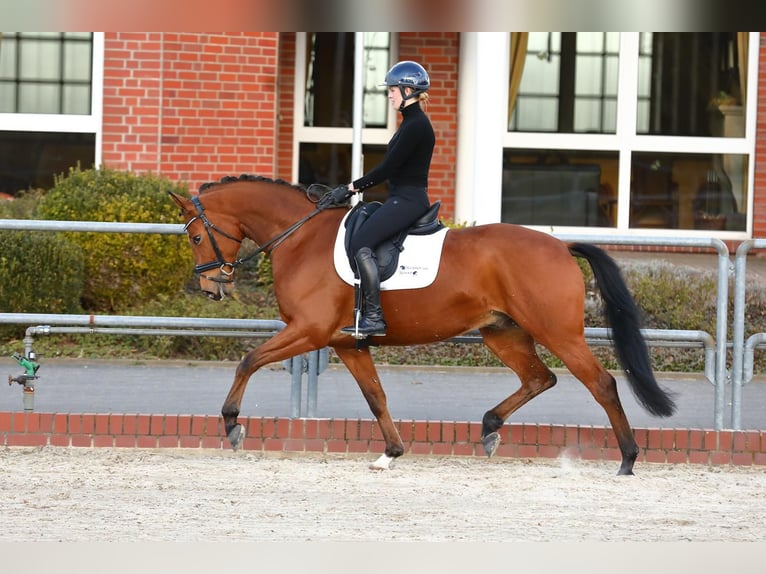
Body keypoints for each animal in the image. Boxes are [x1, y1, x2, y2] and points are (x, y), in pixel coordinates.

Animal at [170, 174, 680, 476]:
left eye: (195, 236)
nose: (211, 287)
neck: (301, 237)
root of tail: (560, 245)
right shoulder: (347, 344)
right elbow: (375, 396)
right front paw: (391, 452)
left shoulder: (309, 331)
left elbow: (248, 360)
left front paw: (232, 425)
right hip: (503, 332)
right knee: (540, 378)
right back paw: (490, 427)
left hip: (557, 332)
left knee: (601, 383)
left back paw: (628, 459)